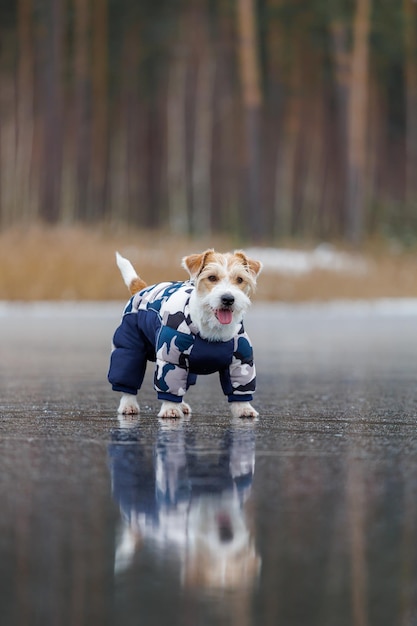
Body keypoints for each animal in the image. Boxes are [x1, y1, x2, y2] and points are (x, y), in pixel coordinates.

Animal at [108, 246, 264, 416]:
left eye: (240, 279)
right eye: (212, 277)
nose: (228, 299)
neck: (211, 329)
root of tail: (142, 289)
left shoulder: (240, 362)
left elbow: (239, 388)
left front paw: (244, 408)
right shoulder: (172, 359)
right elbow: (169, 386)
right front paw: (170, 408)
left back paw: (181, 405)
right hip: (130, 348)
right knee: (127, 376)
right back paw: (128, 404)